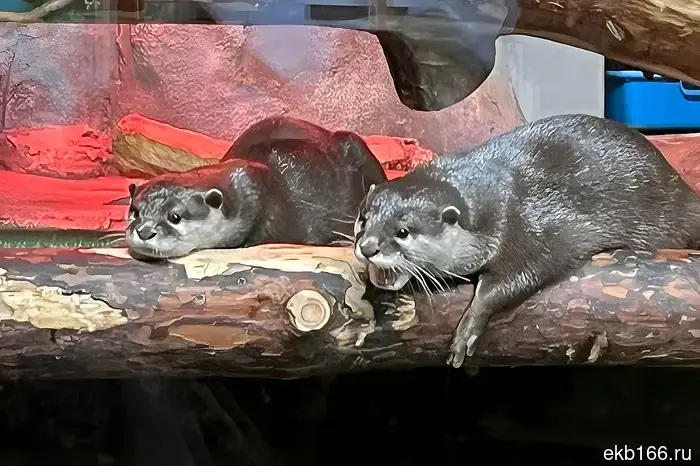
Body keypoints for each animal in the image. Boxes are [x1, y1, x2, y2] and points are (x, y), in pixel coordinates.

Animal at [353, 113, 700, 368]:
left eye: (403, 231)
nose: (368, 247)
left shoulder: (530, 229)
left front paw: (469, 327)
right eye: (364, 219)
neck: (494, 194)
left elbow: (516, 277)